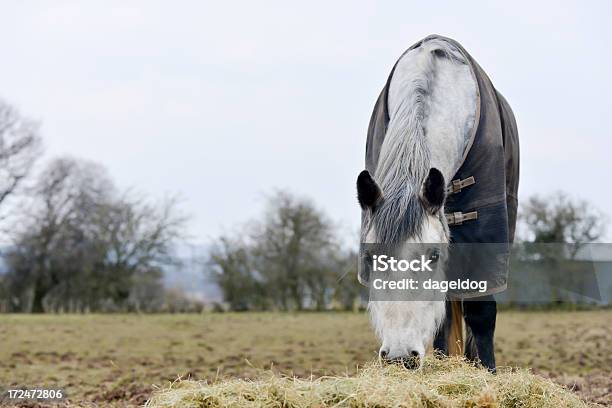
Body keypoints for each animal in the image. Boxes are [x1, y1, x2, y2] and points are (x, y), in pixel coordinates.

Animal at [356, 35, 520, 372]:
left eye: (433, 256)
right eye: (369, 257)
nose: (399, 356)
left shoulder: (485, 239)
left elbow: (482, 314)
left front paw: (488, 372)